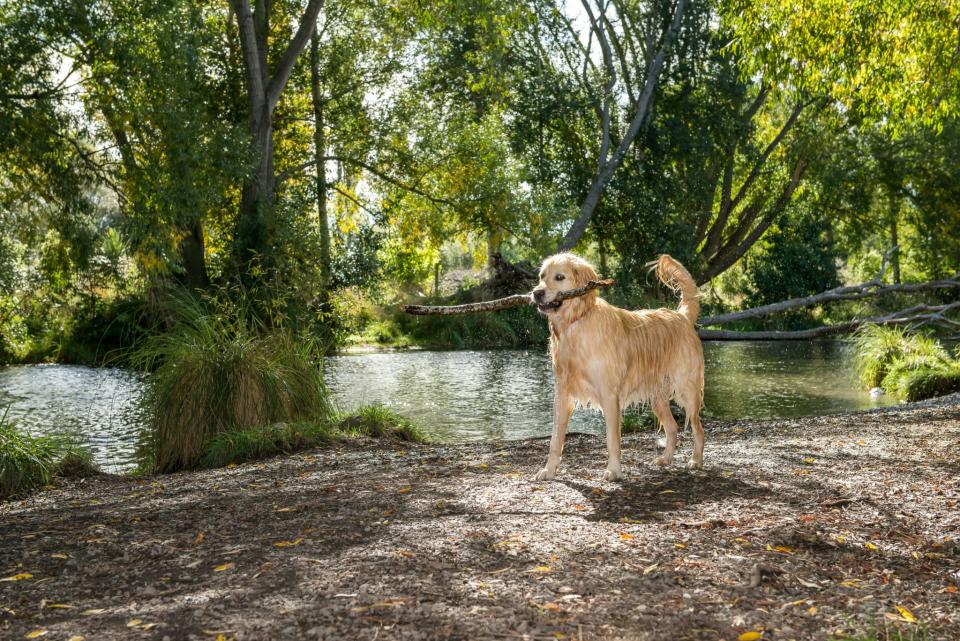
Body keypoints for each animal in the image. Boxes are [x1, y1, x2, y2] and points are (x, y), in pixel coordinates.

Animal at [532, 251, 704, 480]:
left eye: (559, 277)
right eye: (542, 276)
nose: (537, 293)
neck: (577, 321)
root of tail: (682, 316)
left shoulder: (609, 394)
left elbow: (612, 439)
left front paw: (613, 470)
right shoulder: (562, 393)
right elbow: (555, 439)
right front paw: (549, 470)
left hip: (687, 391)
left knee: (697, 428)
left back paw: (696, 460)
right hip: (658, 398)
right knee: (673, 427)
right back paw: (665, 458)